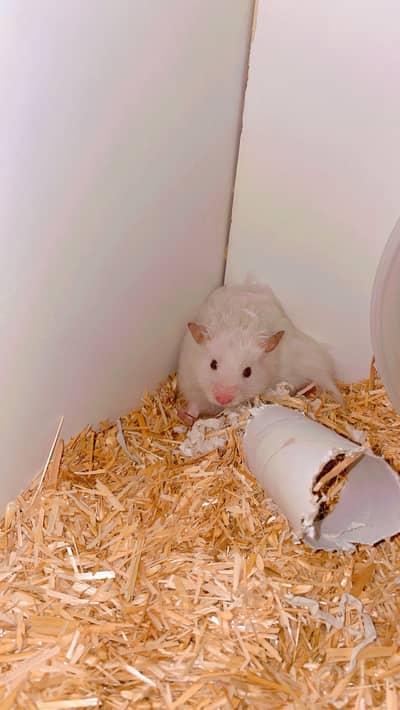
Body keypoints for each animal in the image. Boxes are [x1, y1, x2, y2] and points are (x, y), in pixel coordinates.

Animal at [177, 282, 343, 422]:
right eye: (213, 364)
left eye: (248, 372)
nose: (223, 399)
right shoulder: (191, 383)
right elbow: (194, 406)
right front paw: (184, 417)